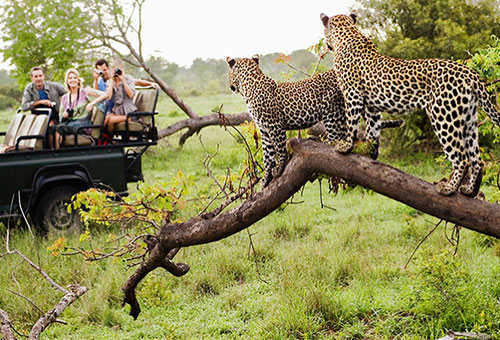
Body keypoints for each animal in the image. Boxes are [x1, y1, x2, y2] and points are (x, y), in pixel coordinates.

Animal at [227, 54, 402, 186]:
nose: (230, 86)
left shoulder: (274, 125)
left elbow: (279, 149)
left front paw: (279, 167)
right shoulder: (264, 129)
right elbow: (267, 155)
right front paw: (265, 179)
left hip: (332, 111)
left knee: (336, 138)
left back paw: (320, 141)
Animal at [320, 12, 500, 197]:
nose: (327, 45)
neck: (348, 34)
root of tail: (470, 73)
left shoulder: (352, 94)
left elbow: (352, 123)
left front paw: (346, 146)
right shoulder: (372, 106)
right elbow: (373, 128)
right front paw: (371, 152)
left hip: (444, 116)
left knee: (462, 158)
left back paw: (448, 188)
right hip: (468, 118)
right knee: (477, 159)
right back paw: (470, 191)